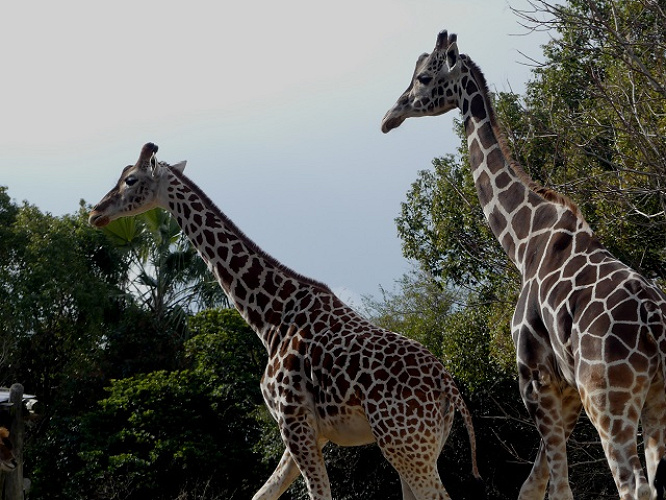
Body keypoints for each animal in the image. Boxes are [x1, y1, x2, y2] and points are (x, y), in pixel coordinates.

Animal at [89, 142, 482, 500]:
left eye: (130, 179)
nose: (95, 212)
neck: (270, 318)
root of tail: (448, 385)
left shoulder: (294, 422)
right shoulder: (302, 430)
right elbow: (263, 494)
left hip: (405, 444)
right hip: (417, 446)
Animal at [378, 29, 664, 498]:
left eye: (423, 78)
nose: (389, 116)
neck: (524, 242)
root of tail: (656, 331)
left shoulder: (535, 378)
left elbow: (558, 489)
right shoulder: (565, 392)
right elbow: (532, 485)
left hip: (609, 400)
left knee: (633, 485)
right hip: (656, 397)